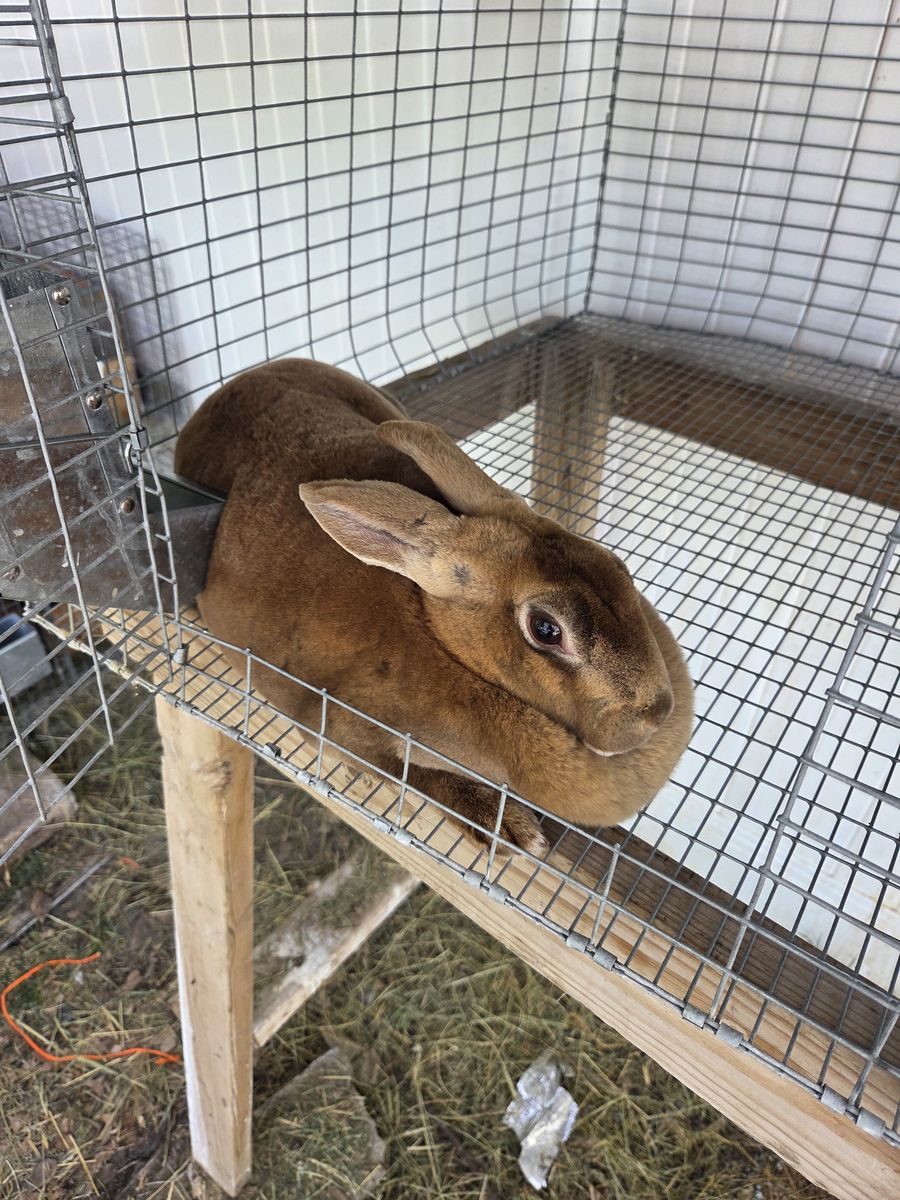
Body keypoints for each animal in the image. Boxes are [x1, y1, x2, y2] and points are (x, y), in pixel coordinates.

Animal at [175, 357, 694, 857]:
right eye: (546, 629)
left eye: (617, 565)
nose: (654, 715)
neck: (440, 638)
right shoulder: (336, 724)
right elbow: (411, 776)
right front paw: (509, 830)